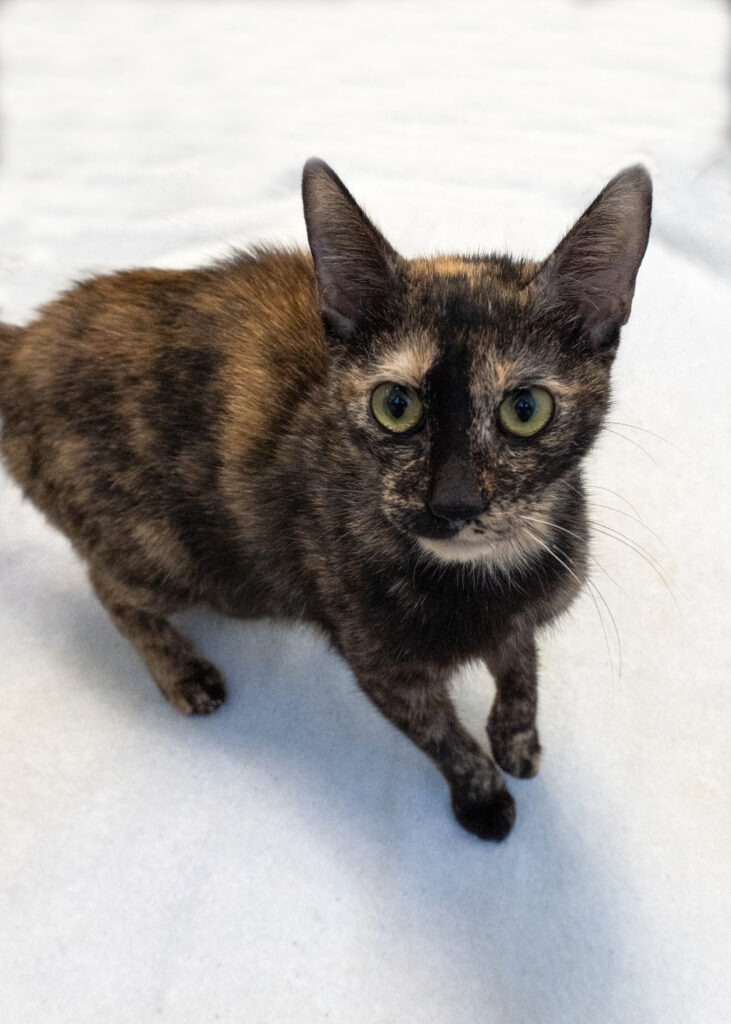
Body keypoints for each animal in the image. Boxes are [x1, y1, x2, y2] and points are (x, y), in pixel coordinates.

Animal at [0, 159, 651, 840]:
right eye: (396, 405)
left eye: (525, 410)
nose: (453, 503)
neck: (488, 581)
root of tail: (23, 342)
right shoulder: (384, 671)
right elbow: (442, 737)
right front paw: (482, 797)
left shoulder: (526, 617)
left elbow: (522, 667)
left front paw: (517, 740)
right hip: (177, 560)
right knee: (110, 588)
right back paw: (183, 672)